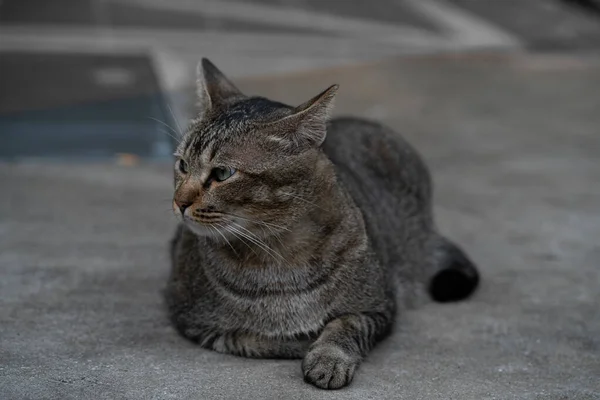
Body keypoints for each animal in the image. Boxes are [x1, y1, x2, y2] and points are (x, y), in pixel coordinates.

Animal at [164, 57, 478, 390]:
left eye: (222, 173)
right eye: (182, 164)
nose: (179, 202)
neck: (278, 254)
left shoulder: (379, 307)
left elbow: (346, 325)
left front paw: (328, 358)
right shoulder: (195, 321)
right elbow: (255, 338)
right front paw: (303, 341)